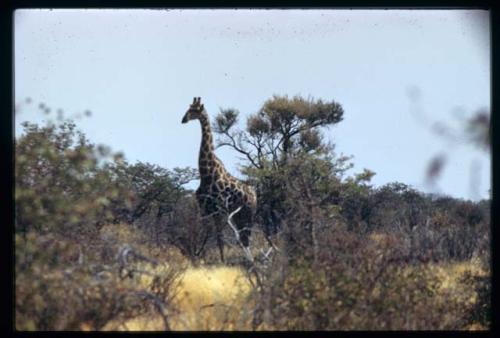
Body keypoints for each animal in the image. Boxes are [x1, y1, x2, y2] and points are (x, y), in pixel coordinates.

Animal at [182, 96, 256, 262]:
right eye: (188, 107)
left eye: (194, 110)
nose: (183, 119)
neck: (206, 174)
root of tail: (255, 194)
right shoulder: (205, 209)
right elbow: (206, 233)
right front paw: (200, 256)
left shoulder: (219, 210)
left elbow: (219, 236)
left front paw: (222, 260)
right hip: (239, 215)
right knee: (243, 237)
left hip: (248, 212)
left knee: (246, 237)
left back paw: (251, 260)